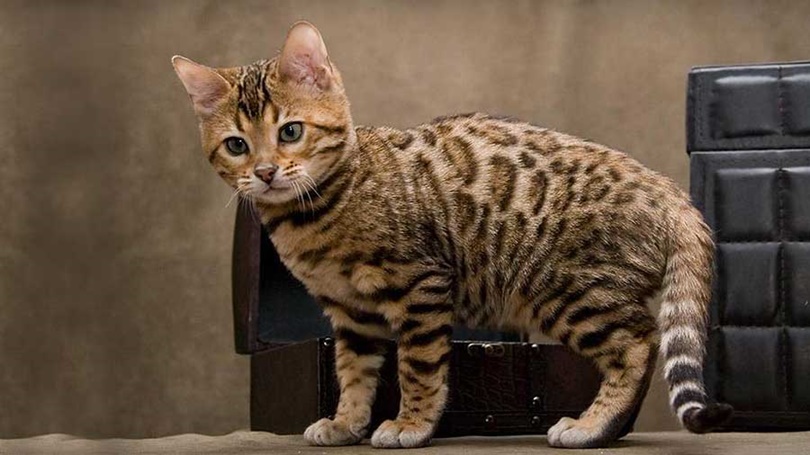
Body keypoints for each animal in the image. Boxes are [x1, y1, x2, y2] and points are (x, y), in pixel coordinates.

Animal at [174, 20, 728, 448]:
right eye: (236, 145)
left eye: (290, 131)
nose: (266, 172)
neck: (315, 214)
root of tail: (669, 191)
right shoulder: (351, 312)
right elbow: (353, 372)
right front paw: (346, 422)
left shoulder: (420, 283)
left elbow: (417, 366)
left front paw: (411, 424)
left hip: (565, 287)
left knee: (639, 341)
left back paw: (592, 426)